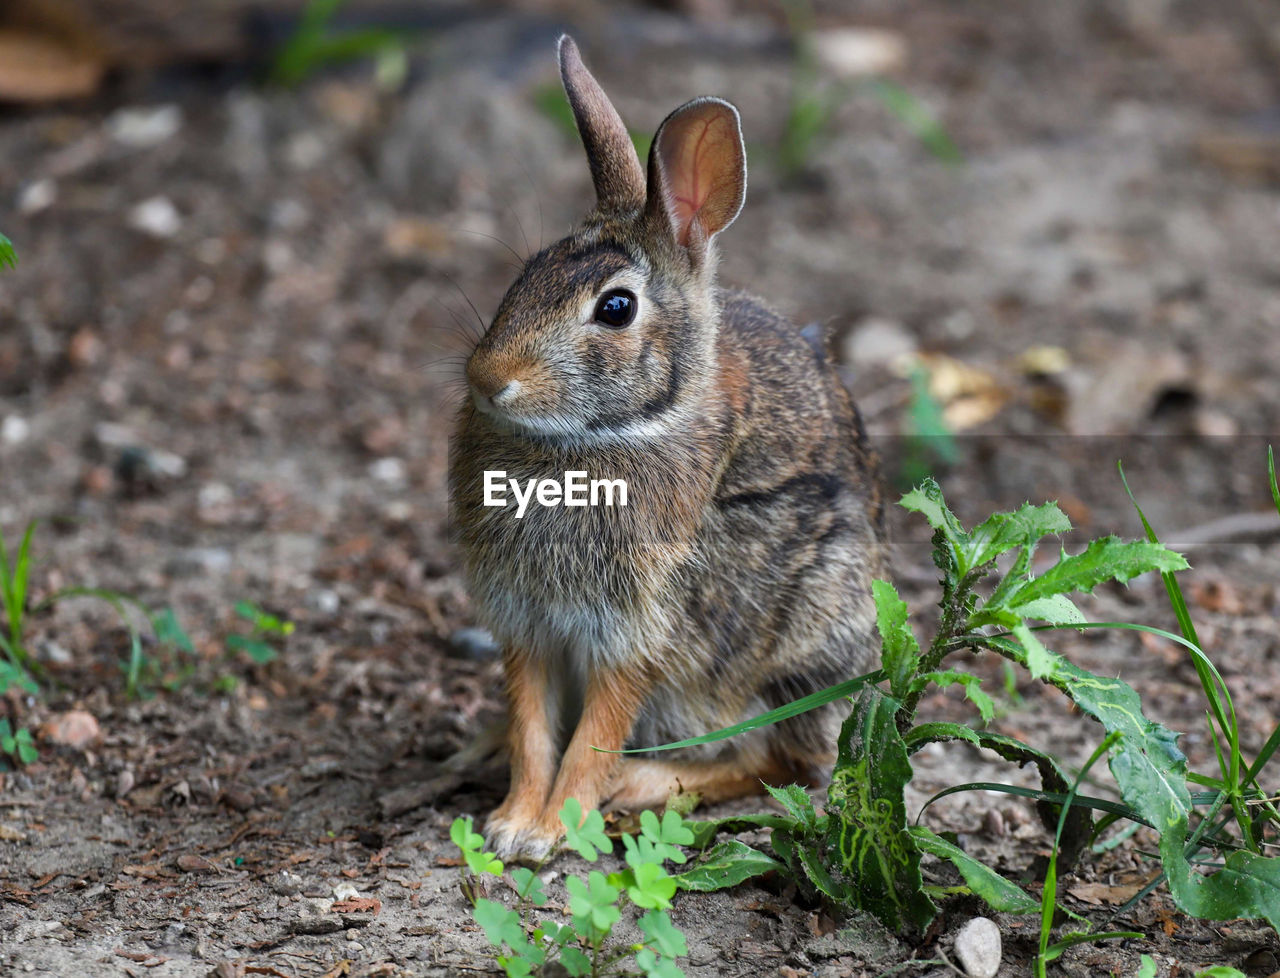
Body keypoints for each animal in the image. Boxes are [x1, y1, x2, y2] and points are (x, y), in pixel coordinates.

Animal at [445, 34, 885, 860]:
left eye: (615, 308)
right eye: (525, 275)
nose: (489, 380)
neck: (602, 437)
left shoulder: (638, 631)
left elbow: (596, 736)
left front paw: (551, 830)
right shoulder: (527, 623)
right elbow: (532, 726)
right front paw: (513, 822)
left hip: (806, 638)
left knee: (783, 758)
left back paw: (643, 785)